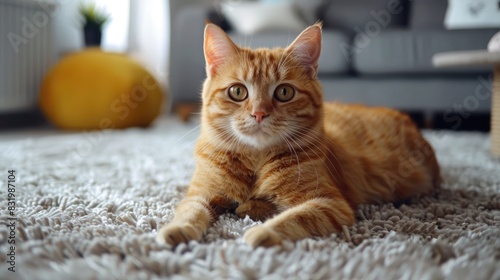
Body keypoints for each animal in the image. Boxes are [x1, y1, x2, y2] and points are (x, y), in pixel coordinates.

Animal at [155, 23, 438, 247]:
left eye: (284, 93)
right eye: (238, 92)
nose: (259, 113)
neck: (256, 161)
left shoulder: (330, 204)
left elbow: (294, 217)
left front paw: (260, 233)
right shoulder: (200, 194)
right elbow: (190, 212)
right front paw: (176, 230)